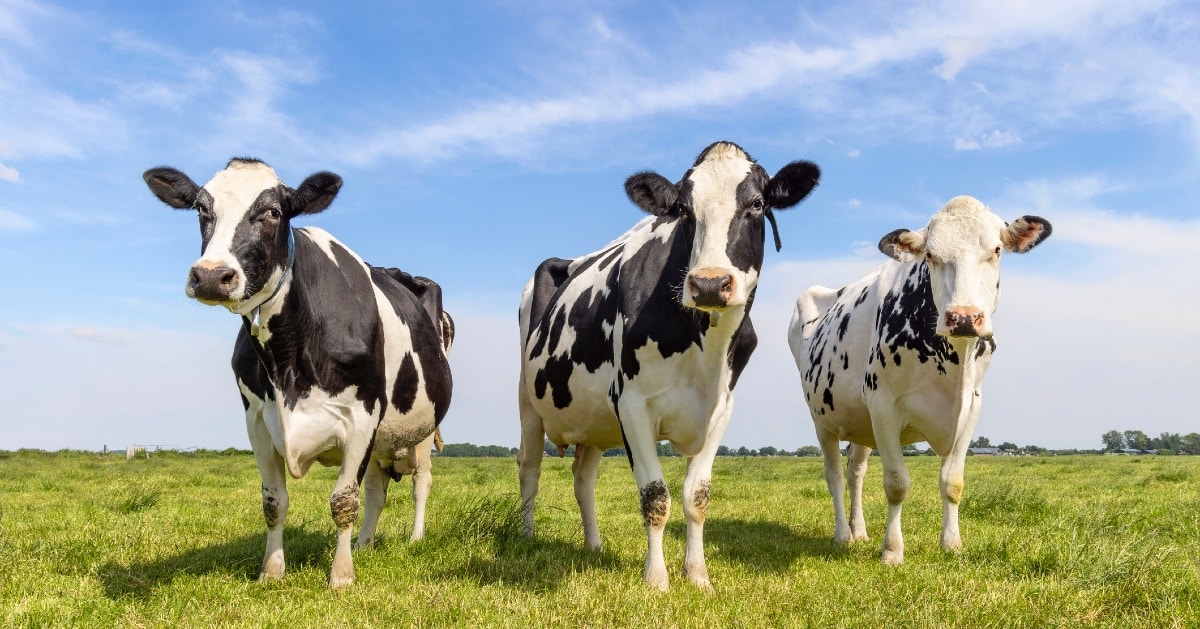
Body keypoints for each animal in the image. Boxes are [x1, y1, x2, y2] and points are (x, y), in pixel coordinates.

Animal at [142, 158, 451, 590]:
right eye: (201, 209)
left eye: (273, 212)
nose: (211, 276)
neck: (287, 361)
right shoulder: (257, 420)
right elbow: (274, 502)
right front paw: (272, 571)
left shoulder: (362, 416)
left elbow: (343, 501)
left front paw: (340, 577)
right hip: (383, 439)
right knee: (376, 490)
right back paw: (364, 545)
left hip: (421, 429)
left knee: (420, 482)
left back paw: (415, 538)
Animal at [520, 141, 820, 590]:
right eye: (683, 210)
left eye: (757, 203)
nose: (710, 283)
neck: (703, 348)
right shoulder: (631, 404)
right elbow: (655, 495)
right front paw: (657, 580)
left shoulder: (721, 408)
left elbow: (697, 495)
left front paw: (697, 575)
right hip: (527, 402)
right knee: (529, 469)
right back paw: (525, 537)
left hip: (592, 422)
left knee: (583, 478)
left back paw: (594, 545)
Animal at [787, 195, 1051, 564]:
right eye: (930, 255)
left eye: (997, 250)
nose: (964, 317)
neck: (954, 364)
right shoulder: (883, 405)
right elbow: (897, 483)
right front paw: (892, 551)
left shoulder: (971, 408)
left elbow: (953, 482)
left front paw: (952, 544)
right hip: (822, 419)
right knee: (835, 475)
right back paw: (843, 535)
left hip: (860, 422)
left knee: (855, 473)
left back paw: (860, 531)